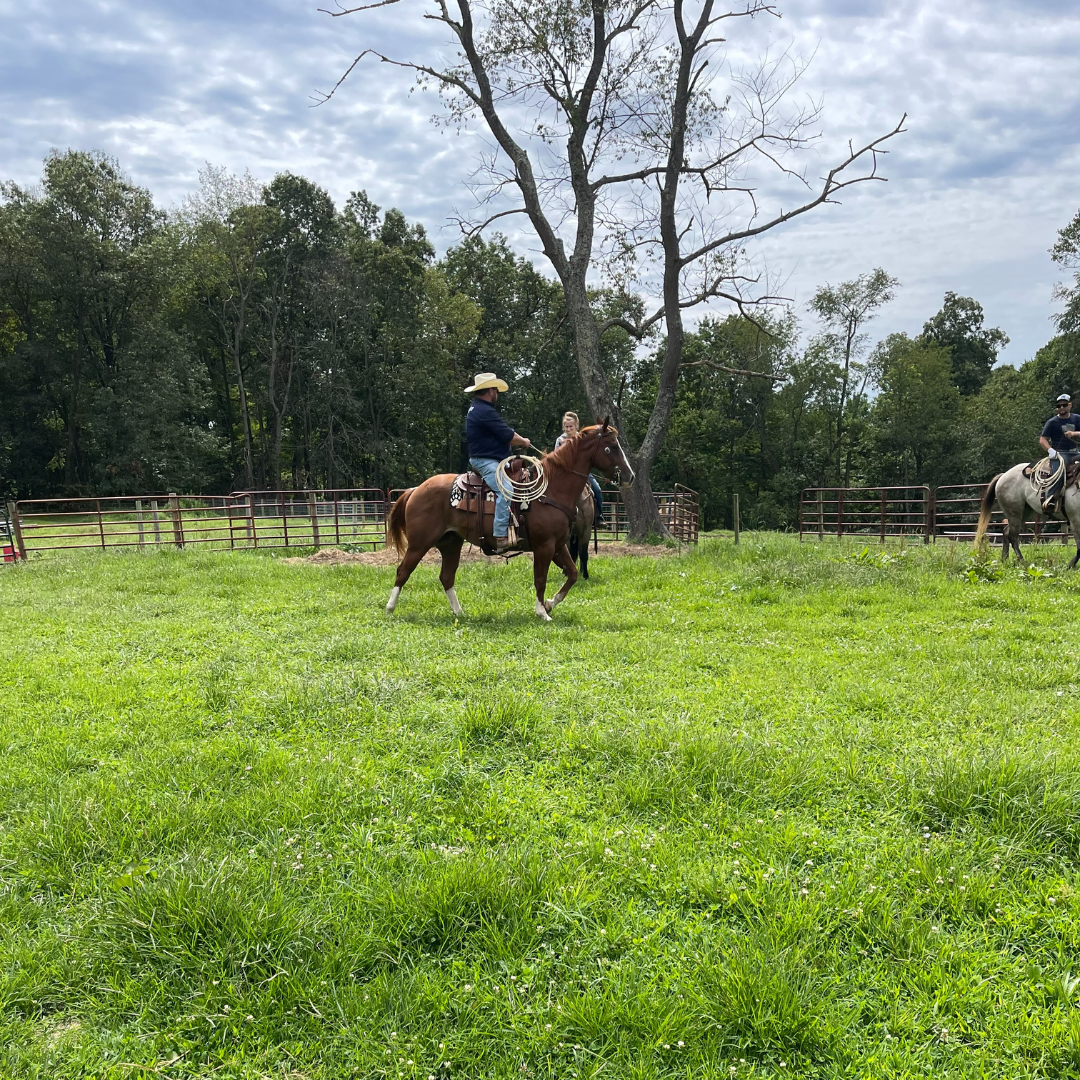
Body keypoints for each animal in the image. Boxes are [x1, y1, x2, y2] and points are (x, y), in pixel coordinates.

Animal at [385, 421, 635, 620]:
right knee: (403, 571)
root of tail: (416, 489)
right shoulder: (544, 546)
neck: (551, 489)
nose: (629, 476)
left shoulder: (558, 544)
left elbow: (572, 574)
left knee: (446, 577)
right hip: (420, 543)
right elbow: (540, 578)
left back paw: (459, 612)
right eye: (611, 447)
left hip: (451, 543)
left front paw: (550, 604)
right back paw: (390, 608)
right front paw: (542, 612)